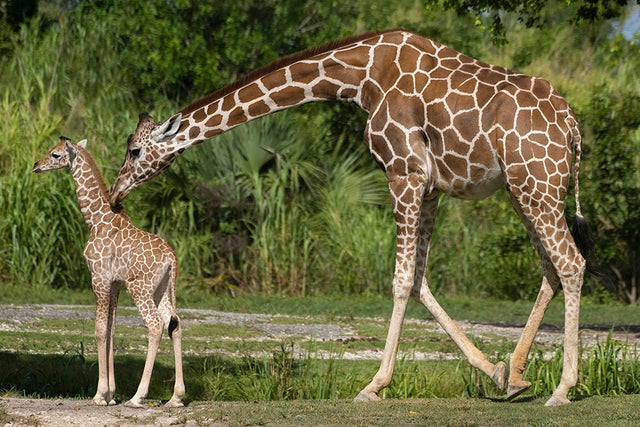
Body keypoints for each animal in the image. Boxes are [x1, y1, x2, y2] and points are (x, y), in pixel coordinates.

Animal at [33, 137, 185, 408]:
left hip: (140, 287)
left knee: (155, 325)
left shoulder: (99, 277)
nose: (36, 165)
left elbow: (99, 329)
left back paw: (137, 397)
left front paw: (100, 394)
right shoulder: (115, 283)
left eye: (56, 154)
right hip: (161, 289)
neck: (95, 220)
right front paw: (111, 394)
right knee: (174, 325)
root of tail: (171, 258)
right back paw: (176, 398)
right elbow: (112, 329)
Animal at [109, 29, 599, 406]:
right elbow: (418, 280)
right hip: (525, 189)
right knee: (551, 268)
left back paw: (563, 389)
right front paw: (495, 373)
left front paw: (373, 385)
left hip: (536, 185)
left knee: (571, 263)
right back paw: (517, 372)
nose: (115, 195)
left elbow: (400, 280)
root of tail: (572, 127)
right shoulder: (429, 185)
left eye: (133, 150)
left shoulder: (403, 173)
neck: (360, 78)